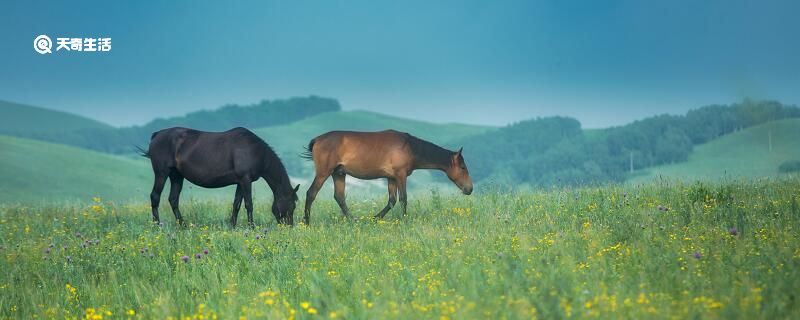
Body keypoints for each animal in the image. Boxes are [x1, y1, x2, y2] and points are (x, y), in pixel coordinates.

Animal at [142, 126, 298, 226]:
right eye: (292, 205)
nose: (289, 226)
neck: (256, 151)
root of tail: (156, 135)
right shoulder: (246, 180)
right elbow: (249, 204)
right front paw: (251, 226)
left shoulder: (240, 182)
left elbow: (236, 204)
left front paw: (232, 226)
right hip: (161, 173)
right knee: (155, 196)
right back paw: (157, 225)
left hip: (176, 176)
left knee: (173, 199)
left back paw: (183, 225)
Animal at [304, 129, 472, 224]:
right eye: (463, 167)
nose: (469, 189)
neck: (409, 147)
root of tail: (317, 139)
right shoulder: (401, 175)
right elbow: (403, 199)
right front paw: (404, 220)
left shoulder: (391, 178)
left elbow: (391, 200)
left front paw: (375, 219)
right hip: (324, 173)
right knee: (311, 193)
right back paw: (306, 222)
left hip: (338, 173)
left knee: (339, 197)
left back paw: (354, 221)